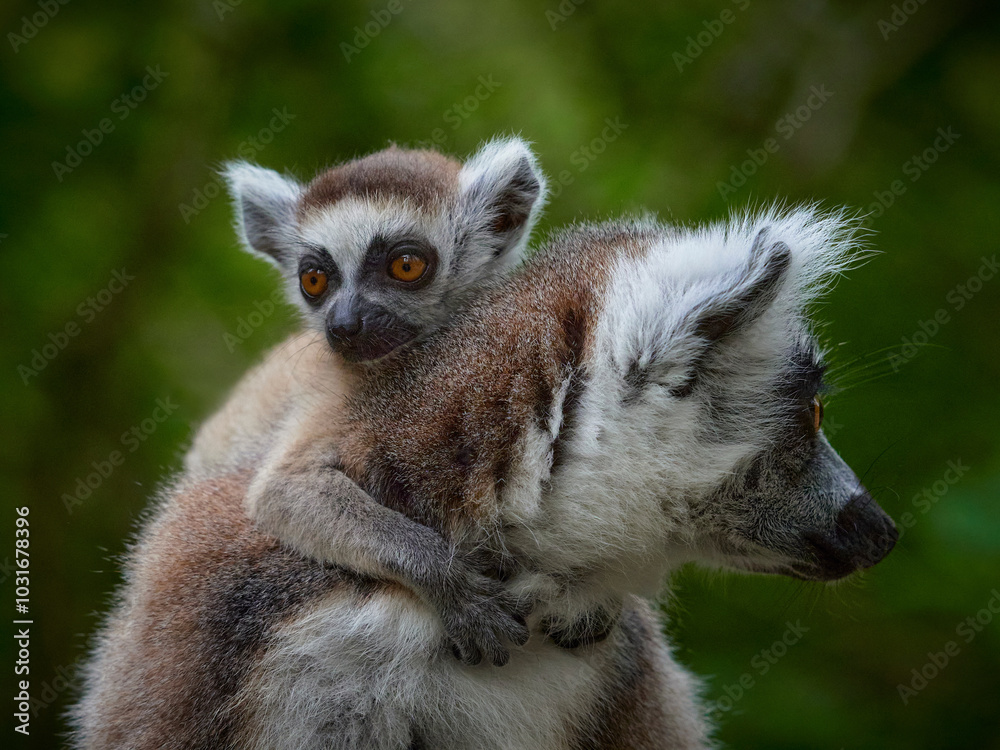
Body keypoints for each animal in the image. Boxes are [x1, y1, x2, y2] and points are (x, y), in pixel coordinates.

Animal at [184, 137, 548, 666]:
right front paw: (449, 581)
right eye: (314, 279)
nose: (344, 325)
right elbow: (282, 491)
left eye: (406, 265)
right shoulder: (340, 396)